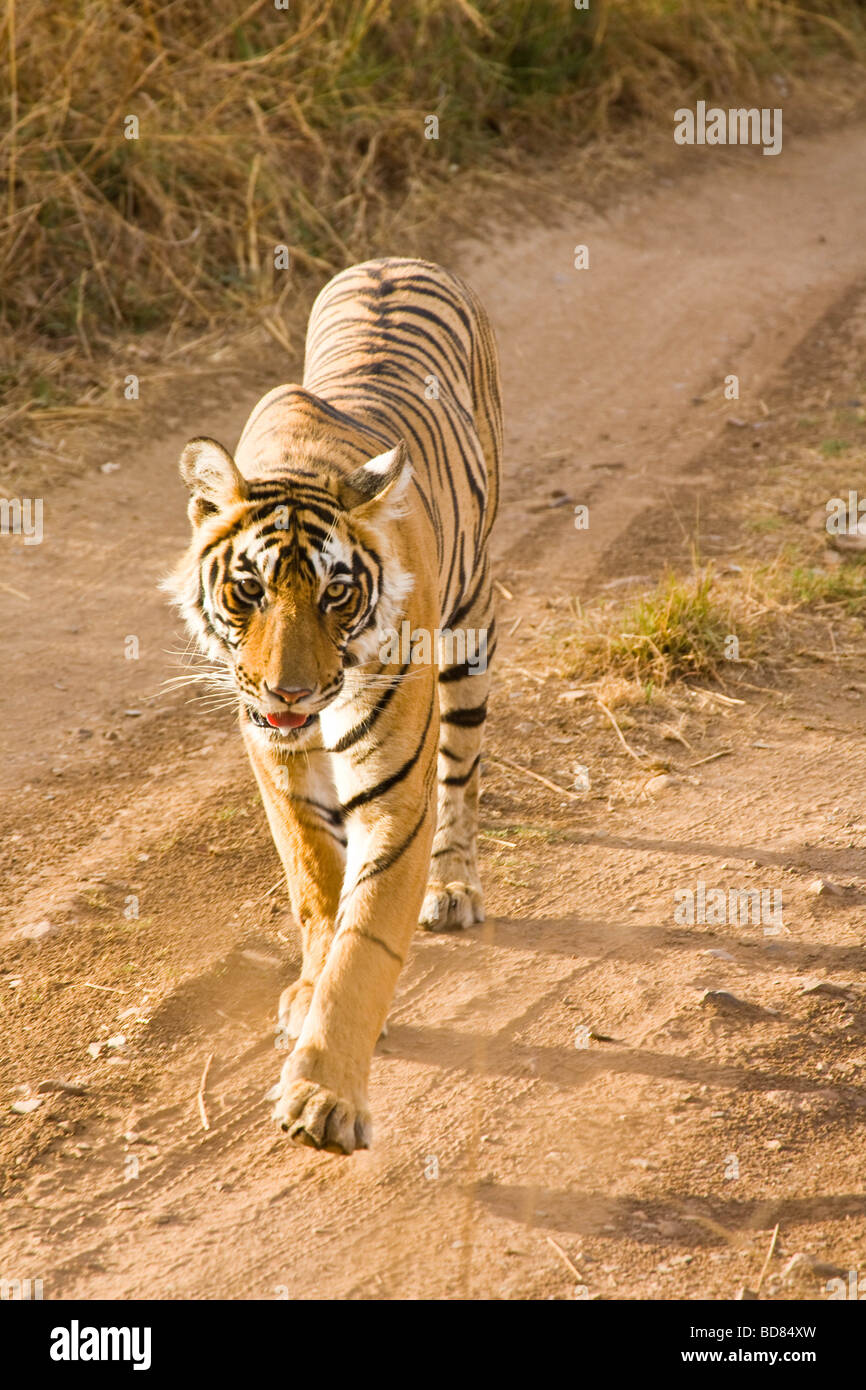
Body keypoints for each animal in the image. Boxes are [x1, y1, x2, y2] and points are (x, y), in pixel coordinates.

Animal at [164, 258, 500, 1150]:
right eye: (249, 590)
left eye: (335, 595)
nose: (289, 691)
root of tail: (397, 259)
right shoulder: (277, 766)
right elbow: (317, 892)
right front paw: (306, 994)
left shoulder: (396, 797)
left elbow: (366, 941)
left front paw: (325, 1098)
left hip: (471, 634)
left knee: (462, 773)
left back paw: (455, 887)